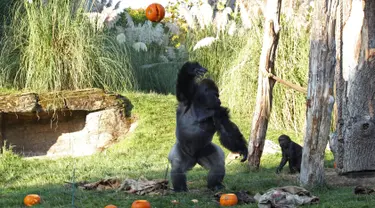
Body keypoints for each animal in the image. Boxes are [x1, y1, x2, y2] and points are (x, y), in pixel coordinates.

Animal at [169, 60, 248, 192]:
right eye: (216, 95)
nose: (219, 100)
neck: (201, 105)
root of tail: (195, 159)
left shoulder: (219, 111)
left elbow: (227, 131)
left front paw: (242, 148)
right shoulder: (186, 97)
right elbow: (183, 83)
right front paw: (193, 69)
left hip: (204, 151)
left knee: (217, 165)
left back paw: (215, 185)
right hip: (183, 151)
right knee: (177, 165)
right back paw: (180, 188)